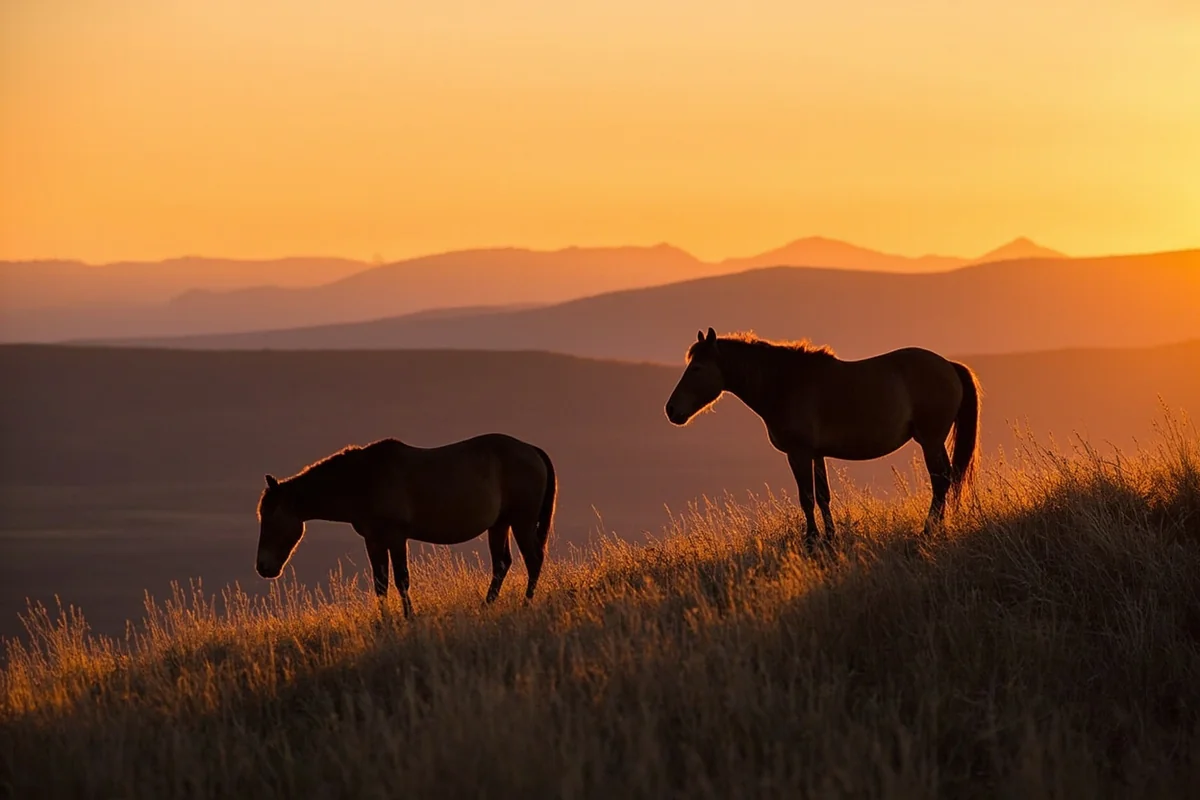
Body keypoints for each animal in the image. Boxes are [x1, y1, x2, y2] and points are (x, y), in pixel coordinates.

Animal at [255, 433, 557, 617]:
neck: (363, 479)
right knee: (502, 564)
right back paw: (486, 606)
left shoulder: (396, 537)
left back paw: (526, 604)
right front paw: (383, 623)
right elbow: (380, 583)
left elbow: (401, 580)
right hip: (500, 524)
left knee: (533, 559)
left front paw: (409, 618)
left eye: (270, 519)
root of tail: (532, 450)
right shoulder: (374, 540)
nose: (263, 568)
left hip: (522, 521)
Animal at [665, 328, 980, 549]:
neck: (785, 383)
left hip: (930, 440)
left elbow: (806, 498)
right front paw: (830, 538)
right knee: (945, 480)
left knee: (940, 481)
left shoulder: (799, 453)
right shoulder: (817, 454)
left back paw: (928, 530)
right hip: (934, 442)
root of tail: (949, 365)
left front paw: (812, 540)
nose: (671, 410)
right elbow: (823, 497)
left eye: (696, 368)